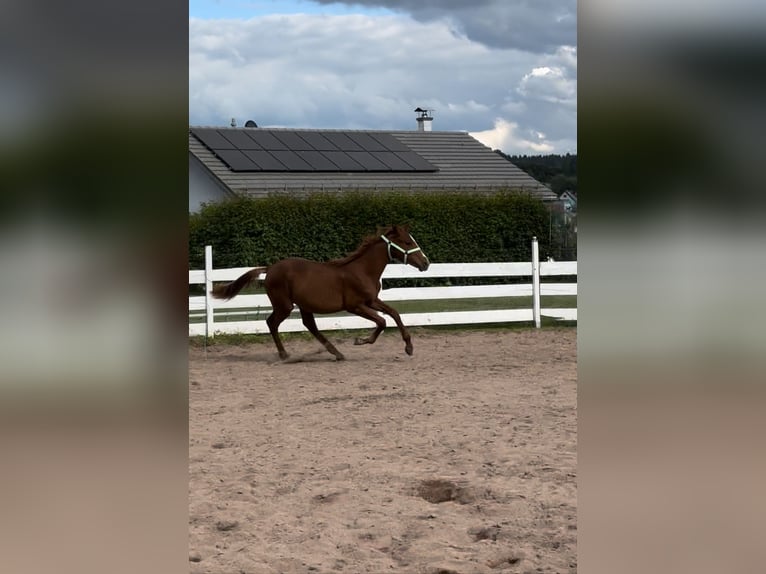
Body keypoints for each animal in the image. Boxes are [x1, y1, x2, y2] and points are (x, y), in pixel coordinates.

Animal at [212, 224, 432, 360]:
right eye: (407, 242)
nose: (426, 263)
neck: (362, 270)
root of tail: (270, 268)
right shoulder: (355, 306)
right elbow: (382, 321)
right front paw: (361, 340)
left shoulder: (371, 300)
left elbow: (394, 313)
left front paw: (409, 347)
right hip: (284, 305)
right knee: (272, 323)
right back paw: (284, 355)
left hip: (303, 305)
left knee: (309, 325)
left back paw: (336, 353)